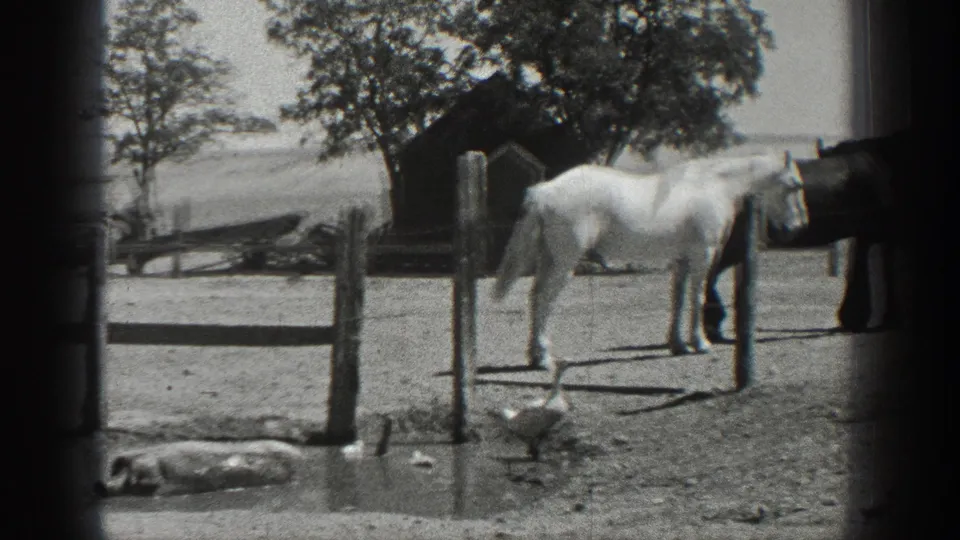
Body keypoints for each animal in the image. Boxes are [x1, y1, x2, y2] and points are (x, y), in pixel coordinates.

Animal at [491, 150, 810, 369]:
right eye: (794, 185)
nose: (797, 228)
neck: (713, 186)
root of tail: (543, 192)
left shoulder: (681, 262)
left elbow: (678, 300)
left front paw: (678, 344)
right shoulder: (702, 257)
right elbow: (697, 298)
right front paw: (701, 343)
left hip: (549, 259)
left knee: (536, 298)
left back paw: (535, 356)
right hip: (563, 263)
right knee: (545, 300)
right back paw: (544, 358)